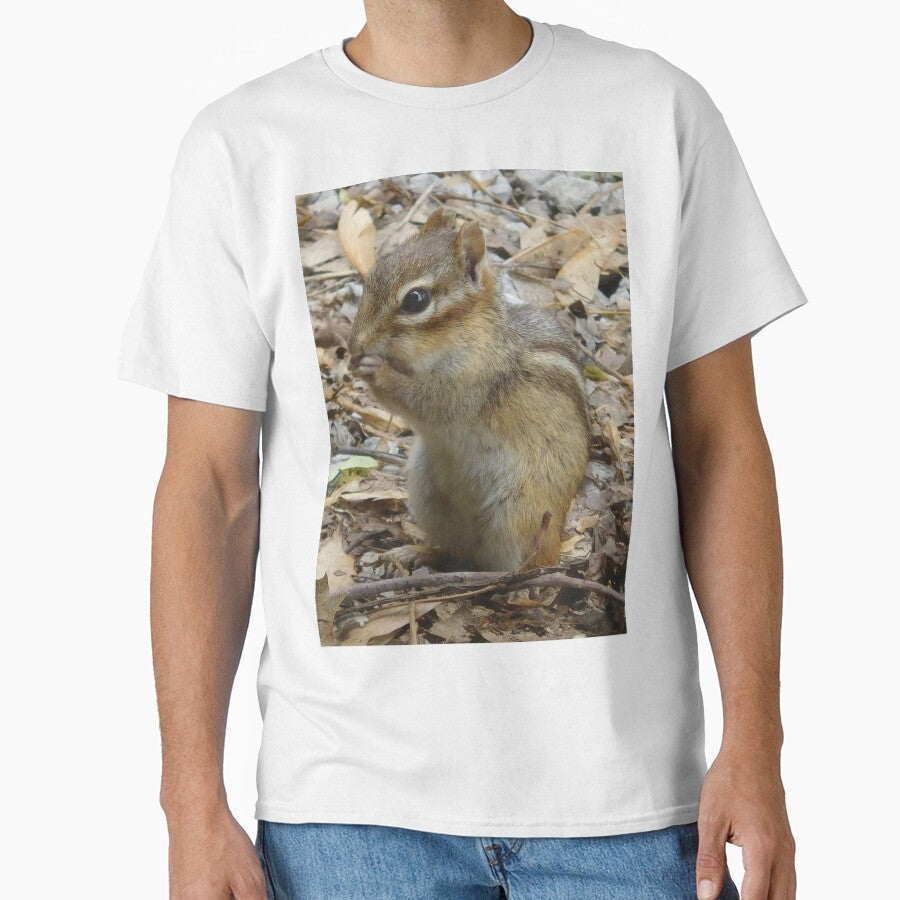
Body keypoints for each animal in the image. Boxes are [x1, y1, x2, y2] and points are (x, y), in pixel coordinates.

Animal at [348, 206, 590, 572]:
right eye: (373, 273)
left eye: (416, 300)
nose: (356, 344)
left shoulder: (470, 381)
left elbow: (426, 401)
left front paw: (377, 371)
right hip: (426, 490)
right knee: (454, 550)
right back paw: (414, 553)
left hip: (518, 511)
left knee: (512, 565)